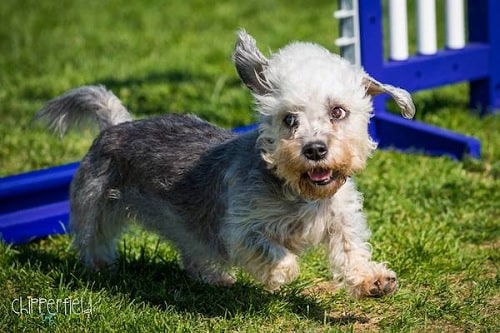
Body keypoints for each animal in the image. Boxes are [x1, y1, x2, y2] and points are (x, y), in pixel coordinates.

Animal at [36, 30, 414, 296]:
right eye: (289, 119)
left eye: (338, 111)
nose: (315, 149)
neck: (299, 192)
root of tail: (115, 125)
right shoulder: (239, 229)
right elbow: (272, 251)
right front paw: (282, 273)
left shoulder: (341, 218)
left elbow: (351, 250)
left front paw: (372, 279)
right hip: (96, 205)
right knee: (92, 241)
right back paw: (99, 269)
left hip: (183, 226)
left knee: (191, 253)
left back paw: (213, 277)